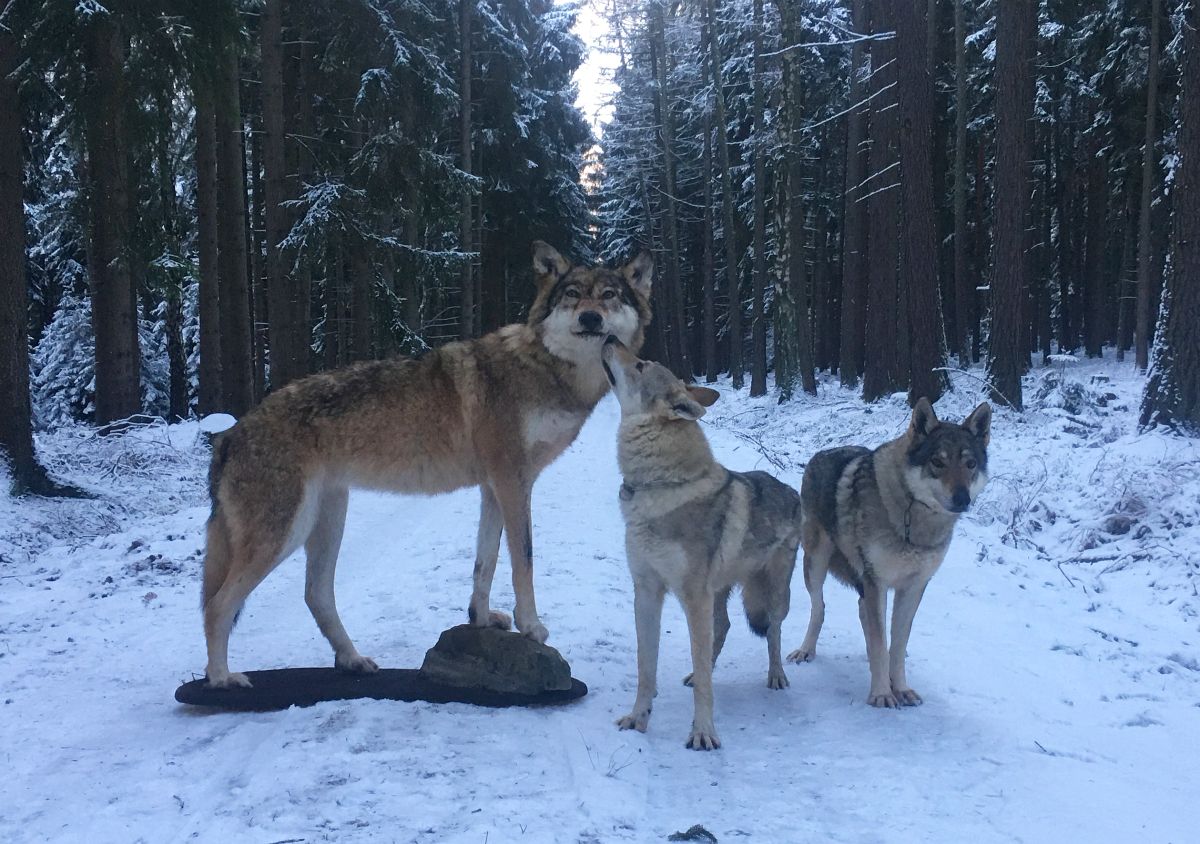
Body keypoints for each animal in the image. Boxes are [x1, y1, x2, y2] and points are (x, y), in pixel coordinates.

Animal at [199, 242, 648, 686]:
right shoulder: (512, 482)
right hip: (285, 534)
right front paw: (531, 627)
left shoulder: (495, 488)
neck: (550, 371)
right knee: (217, 605)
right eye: (572, 294)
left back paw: (352, 660)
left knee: (315, 595)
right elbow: (524, 561)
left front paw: (480, 619)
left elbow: (484, 563)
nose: (590, 318)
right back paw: (222, 679)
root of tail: (228, 435)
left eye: (609, 295)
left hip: (326, 521)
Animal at [604, 338, 801, 753]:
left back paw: (776, 676)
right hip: (720, 592)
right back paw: (699, 672)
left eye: (641, 364)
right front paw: (638, 719)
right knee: (722, 628)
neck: (657, 487)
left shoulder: (693, 596)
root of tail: (792, 490)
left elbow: (705, 684)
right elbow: (646, 668)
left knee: (773, 632)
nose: (610, 338)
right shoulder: (646, 591)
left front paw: (703, 733)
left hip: (774, 594)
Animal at [782, 398, 988, 710]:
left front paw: (900, 688)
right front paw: (881, 693)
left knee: (861, 611)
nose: (962, 499)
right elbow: (881, 643)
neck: (913, 522)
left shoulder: (913, 587)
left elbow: (898, 643)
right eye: (937, 462)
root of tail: (821, 453)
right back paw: (806, 651)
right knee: (820, 609)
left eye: (970, 464)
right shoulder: (876, 582)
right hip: (815, 564)